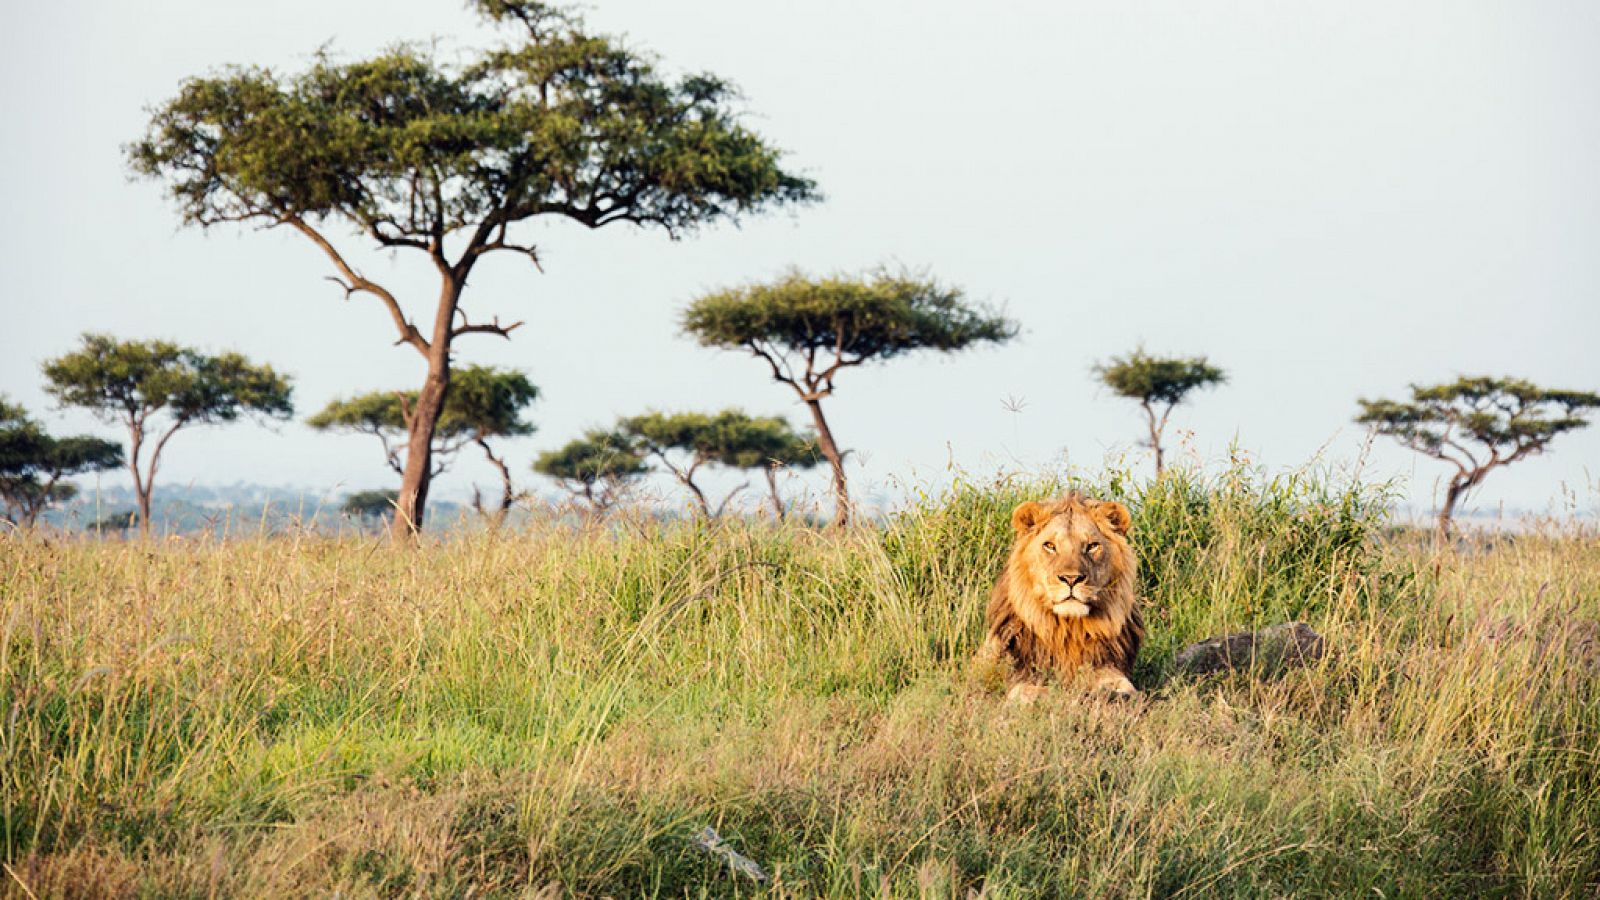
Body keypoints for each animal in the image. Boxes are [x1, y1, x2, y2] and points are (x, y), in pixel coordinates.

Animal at [966, 490, 1145, 701]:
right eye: (1050, 546)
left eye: (1092, 546)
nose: (1071, 578)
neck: (1069, 629)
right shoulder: (1019, 675)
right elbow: (1031, 691)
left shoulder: (1108, 664)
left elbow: (1123, 686)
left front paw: (1111, 693)